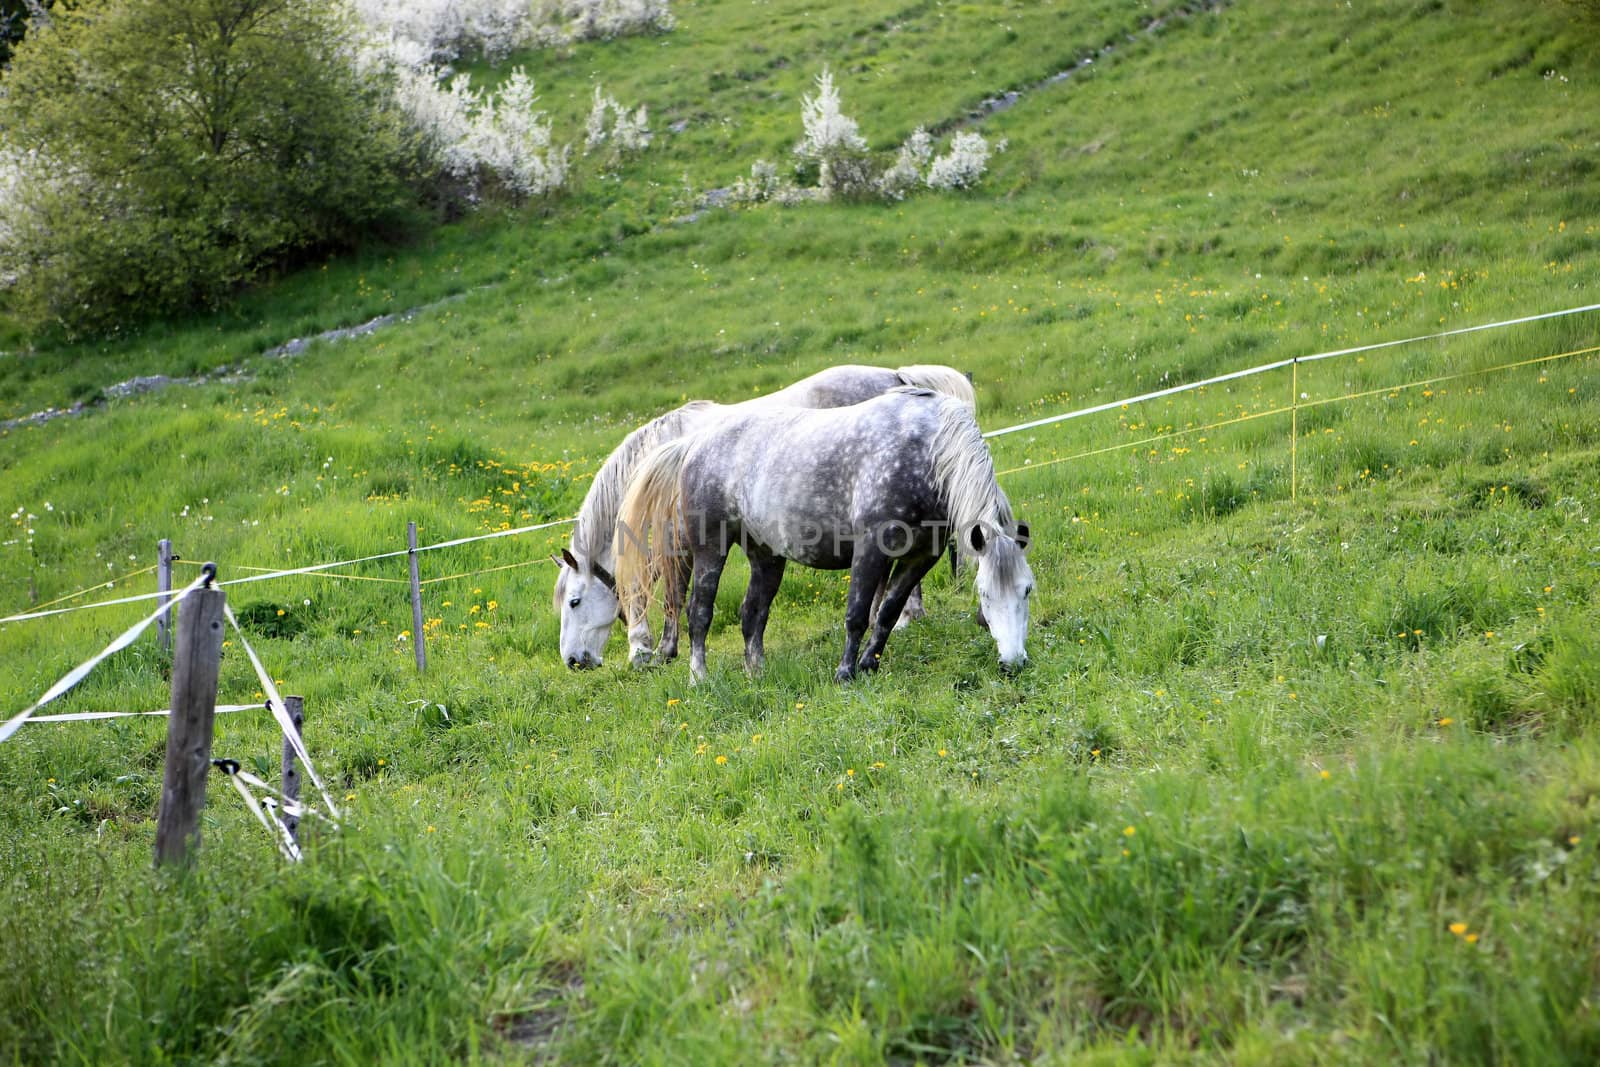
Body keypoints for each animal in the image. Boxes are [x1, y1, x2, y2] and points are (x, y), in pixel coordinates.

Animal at [550, 363, 972, 671]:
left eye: (574, 602)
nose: (573, 661)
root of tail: (896, 376)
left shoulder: (675, 538)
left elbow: (673, 588)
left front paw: (655, 649)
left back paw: (906, 618)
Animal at [611, 390, 1036, 684]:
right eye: (985, 594)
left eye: (1027, 590)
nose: (1013, 663)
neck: (925, 451)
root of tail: (692, 444)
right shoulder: (870, 550)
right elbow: (857, 615)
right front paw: (846, 672)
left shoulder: (921, 556)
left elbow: (888, 611)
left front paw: (869, 664)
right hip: (709, 549)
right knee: (699, 613)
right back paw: (699, 677)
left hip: (766, 555)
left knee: (753, 615)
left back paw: (757, 674)